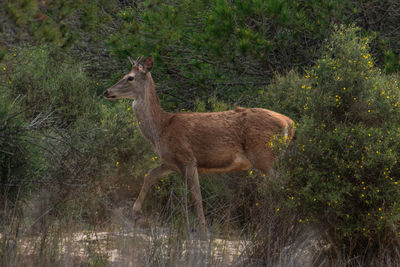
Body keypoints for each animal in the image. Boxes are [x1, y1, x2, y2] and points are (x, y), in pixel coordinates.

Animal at [104, 56, 294, 237]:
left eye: (130, 77)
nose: (106, 91)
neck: (161, 128)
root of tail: (289, 122)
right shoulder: (170, 162)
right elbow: (150, 174)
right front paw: (135, 214)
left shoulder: (188, 158)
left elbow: (197, 197)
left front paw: (202, 230)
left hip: (264, 155)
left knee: (279, 183)